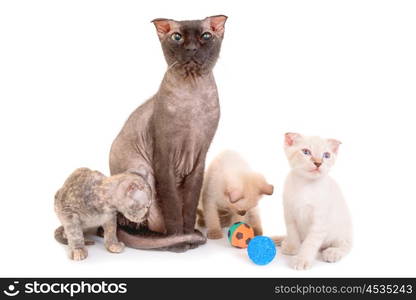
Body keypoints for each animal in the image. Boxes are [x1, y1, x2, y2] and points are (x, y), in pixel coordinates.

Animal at [109, 15, 228, 252]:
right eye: (177, 37)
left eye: (205, 36)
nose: (191, 48)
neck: (193, 99)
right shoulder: (164, 159)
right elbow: (173, 206)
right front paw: (180, 240)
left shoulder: (198, 160)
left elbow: (189, 206)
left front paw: (189, 235)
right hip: (142, 172)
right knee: (130, 223)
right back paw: (158, 239)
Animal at [278, 132, 352, 270]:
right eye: (306, 152)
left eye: (326, 155)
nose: (318, 163)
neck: (305, 184)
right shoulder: (290, 215)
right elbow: (293, 234)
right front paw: (293, 248)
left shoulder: (319, 223)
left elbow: (309, 243)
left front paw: (302, 260)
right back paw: (285, 243)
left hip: (341, 231)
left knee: (345, 245)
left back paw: (332, 253)